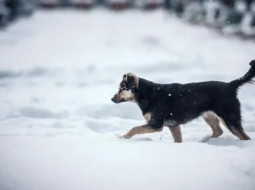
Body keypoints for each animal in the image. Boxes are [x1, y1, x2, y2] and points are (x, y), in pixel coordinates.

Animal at [111, 60, 255, 142]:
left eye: (121, 88)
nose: (112, 99)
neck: (146, 94)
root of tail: (230, 85)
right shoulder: (173, 125)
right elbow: (178, 140)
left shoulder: (156, 125)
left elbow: (134, 129)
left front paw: (123, 138)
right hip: (209, 116)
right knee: (218, 131)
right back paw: (205, 141)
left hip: (229, 118)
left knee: (245, 137)